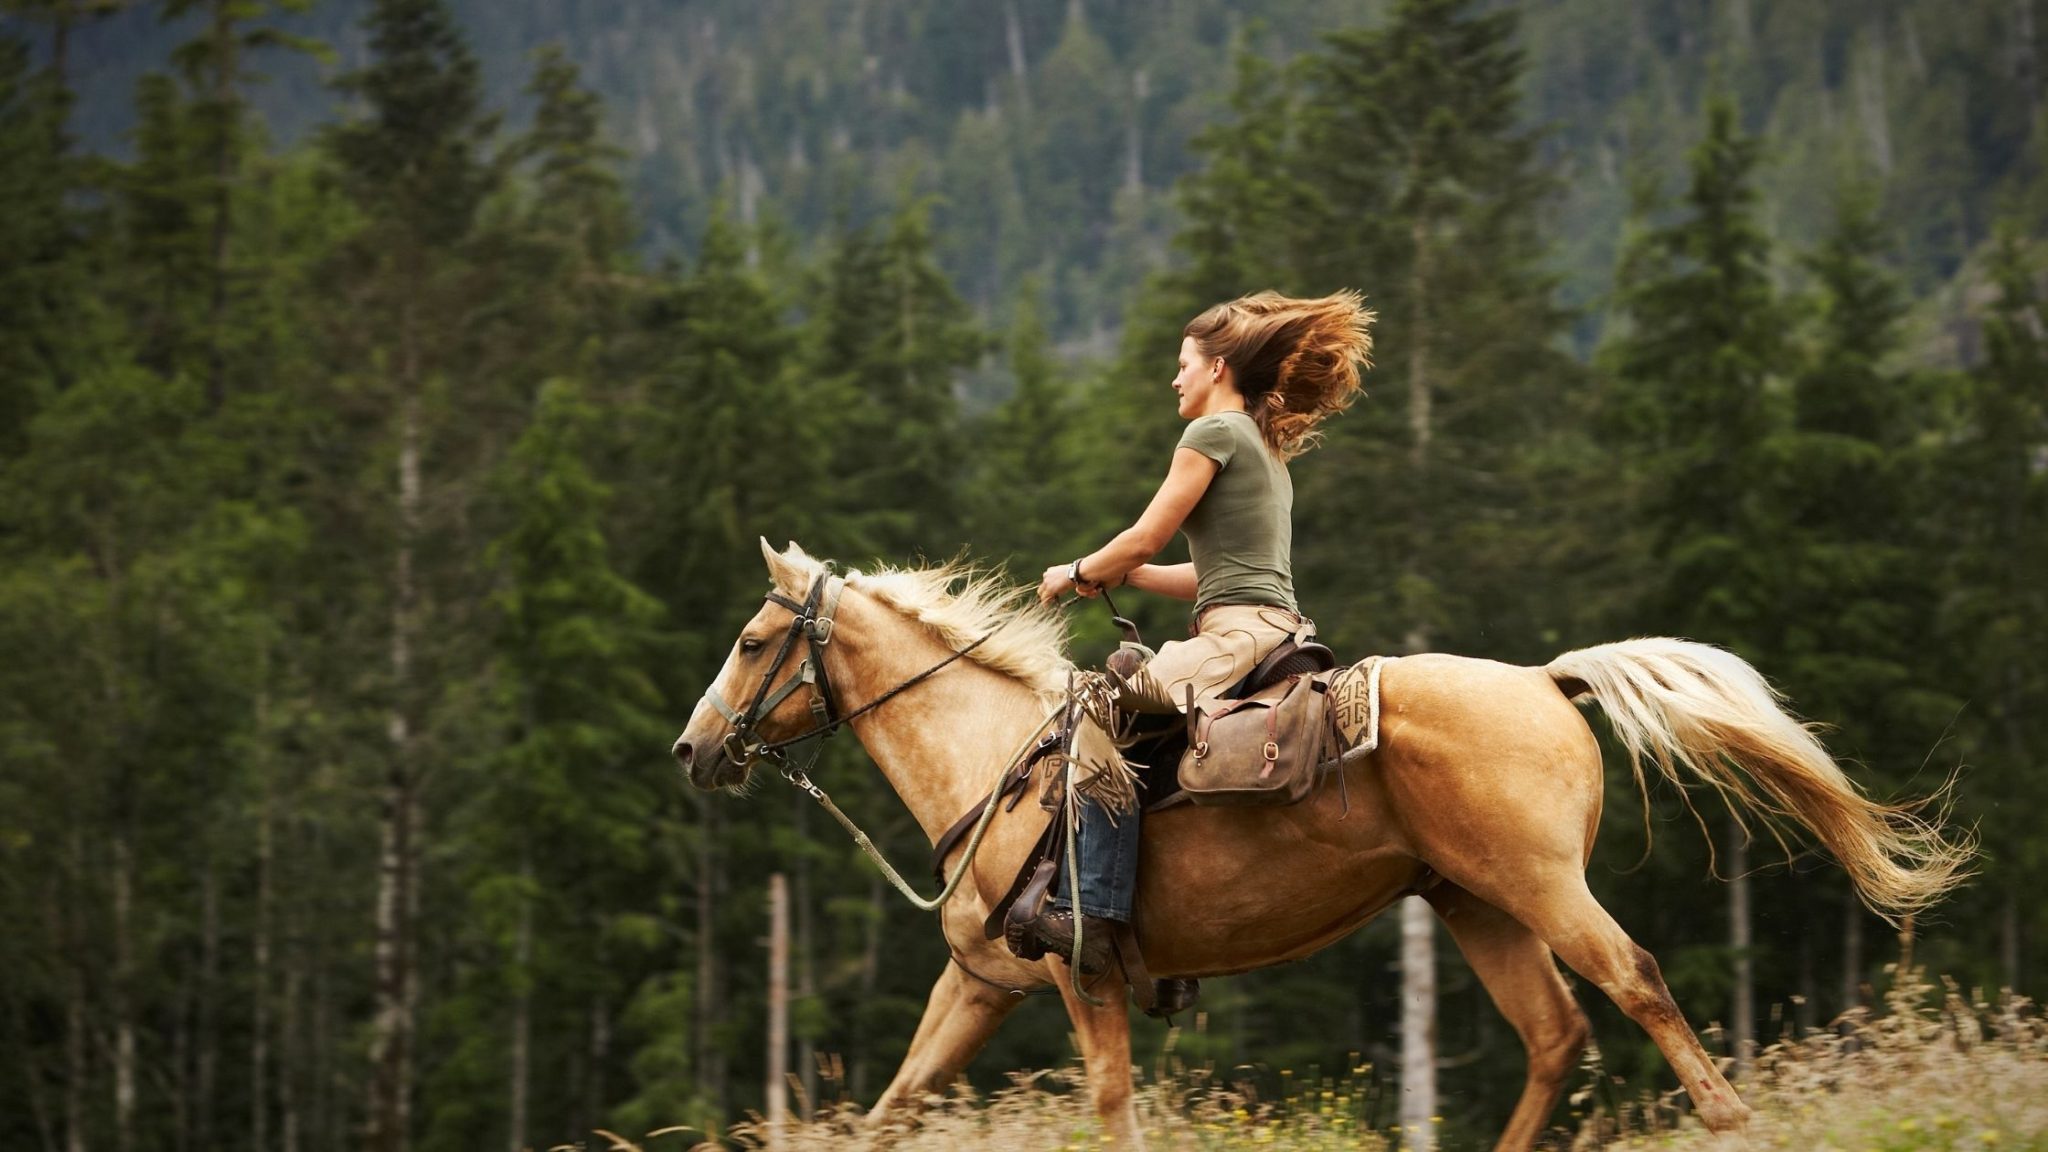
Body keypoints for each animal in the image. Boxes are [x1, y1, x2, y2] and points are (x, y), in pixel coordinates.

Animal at [675, 541, 1966, 1147]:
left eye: (749, 641)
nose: (692, 749)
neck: (998, 765)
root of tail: (1545, 679)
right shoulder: (981, 982)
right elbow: (894, 1105)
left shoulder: (1077, 976)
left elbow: (1110, 1103)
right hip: (1474, 902)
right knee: (1553, 1035)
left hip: (1541, 889)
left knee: (1635, 985)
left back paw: (1732, 1125)